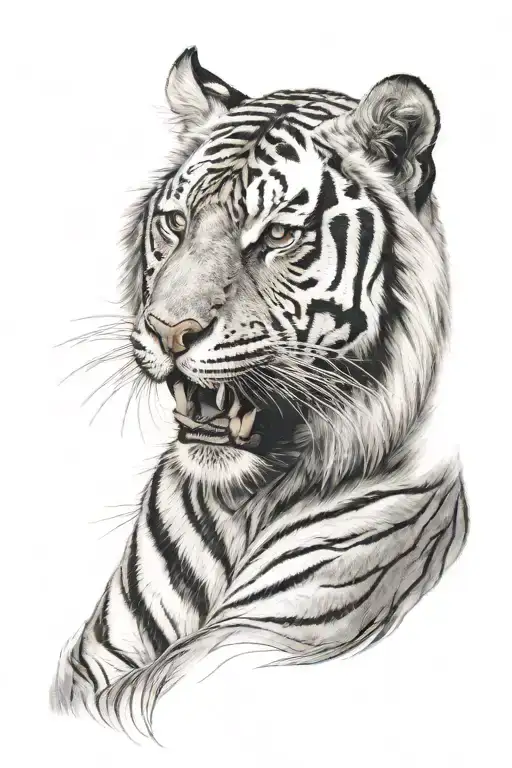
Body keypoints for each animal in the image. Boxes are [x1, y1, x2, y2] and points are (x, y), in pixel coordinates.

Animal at [50, 46, 468, 740]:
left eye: (276, 237)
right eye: (176, 223)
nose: (168, 330)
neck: (239, 504)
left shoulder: (259, 643)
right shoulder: (96, 664)